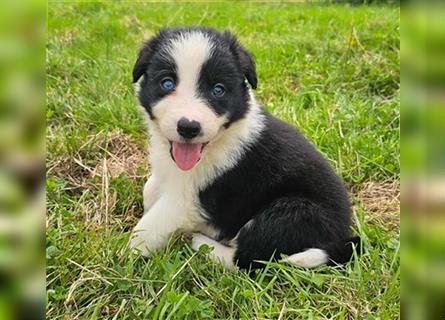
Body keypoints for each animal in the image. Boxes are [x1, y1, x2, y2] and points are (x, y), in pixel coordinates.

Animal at [128, 27, 358, 268]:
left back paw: (204, 245)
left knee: (249, 259)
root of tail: (340, 237)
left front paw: (127, 254)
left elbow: (149, 227)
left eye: (218, 90)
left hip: (289, 212)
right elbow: (150, 190)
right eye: (167, 83)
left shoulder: (186, 201)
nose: (188, 127)